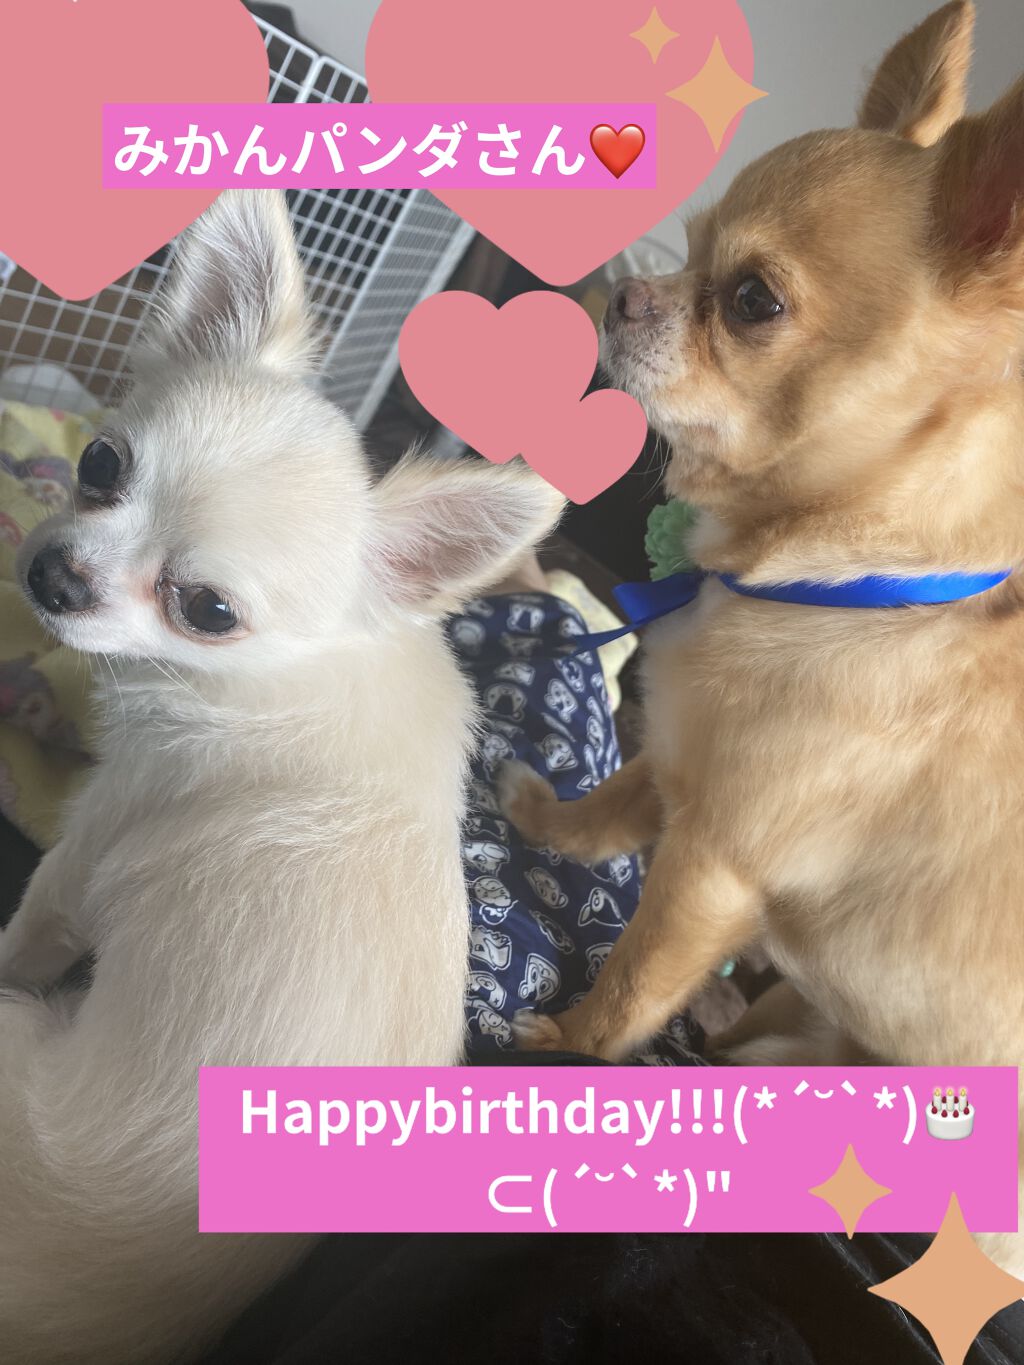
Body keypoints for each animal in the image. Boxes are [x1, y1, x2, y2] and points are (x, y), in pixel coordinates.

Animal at [0, 189, 562, 1362]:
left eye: (207, 610)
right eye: (101, 464)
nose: (53, 575)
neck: (289, 666)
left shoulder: (89, 848)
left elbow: (33, 925)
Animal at [500, 0, 1024, 1270]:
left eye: (750, 301)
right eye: (686, 244)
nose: (624, 297)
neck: (839, 587)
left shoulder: (713, 869)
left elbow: (632, 975)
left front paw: (566, 1050)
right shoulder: (683, 769)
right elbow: (606, 809)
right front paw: (538, 815)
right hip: (799, 1022)